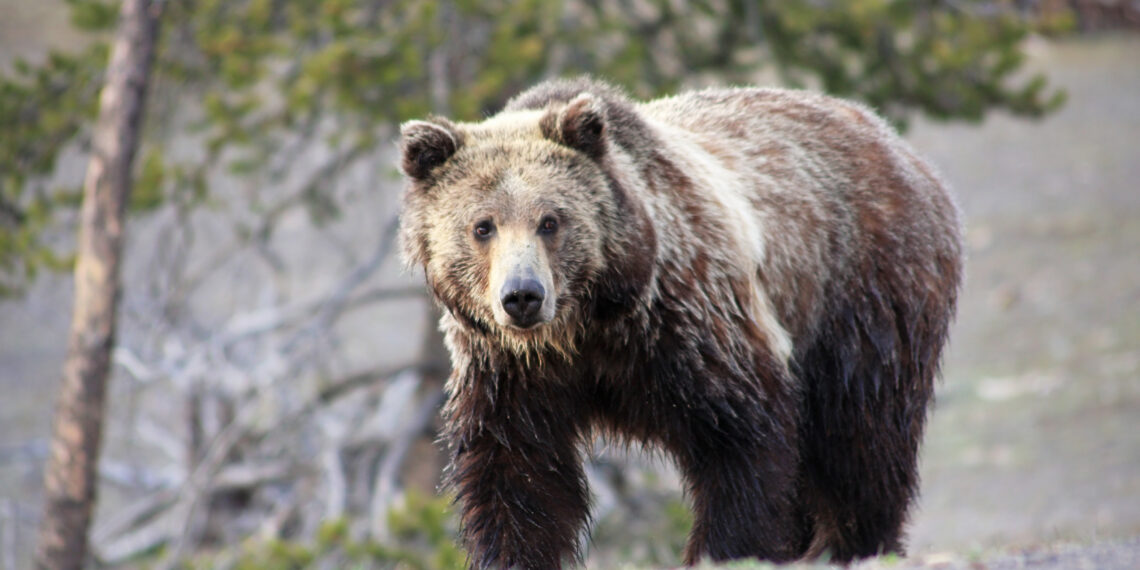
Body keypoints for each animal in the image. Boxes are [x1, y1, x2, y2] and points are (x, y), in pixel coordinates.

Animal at [397, 77, 963, 569]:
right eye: (482, 226)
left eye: (551, 220)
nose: (522, 296)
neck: (587, 328)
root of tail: (897, 143)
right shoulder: (511, 375)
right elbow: (518, 477)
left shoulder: (691, 328)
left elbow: (743, 446)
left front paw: (726, 550)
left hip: (862, 295)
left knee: (861, 440)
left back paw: (853, 543)